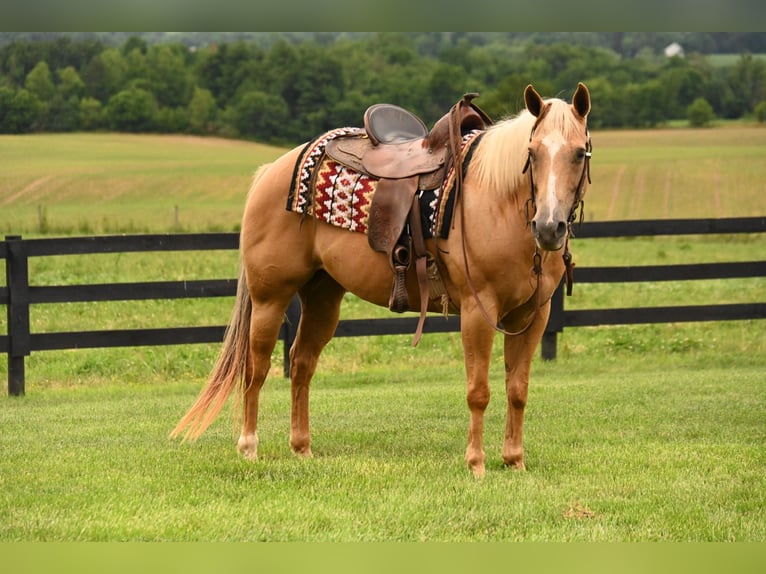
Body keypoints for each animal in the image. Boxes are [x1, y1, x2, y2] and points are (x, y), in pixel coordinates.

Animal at [170, 83, 592, 477]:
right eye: (532, 153)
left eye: (579, 153)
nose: (549, 227)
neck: (497, 200)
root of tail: (270, 171)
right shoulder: (478, 309)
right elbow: (479, 391)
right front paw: (476, 463)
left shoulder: (533, 316)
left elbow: (518, 389)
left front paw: (514, 460)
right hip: (270, 298)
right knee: (256, 367)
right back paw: (249, 447)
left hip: (323, 296)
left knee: (302, 363)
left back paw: (302, 447)